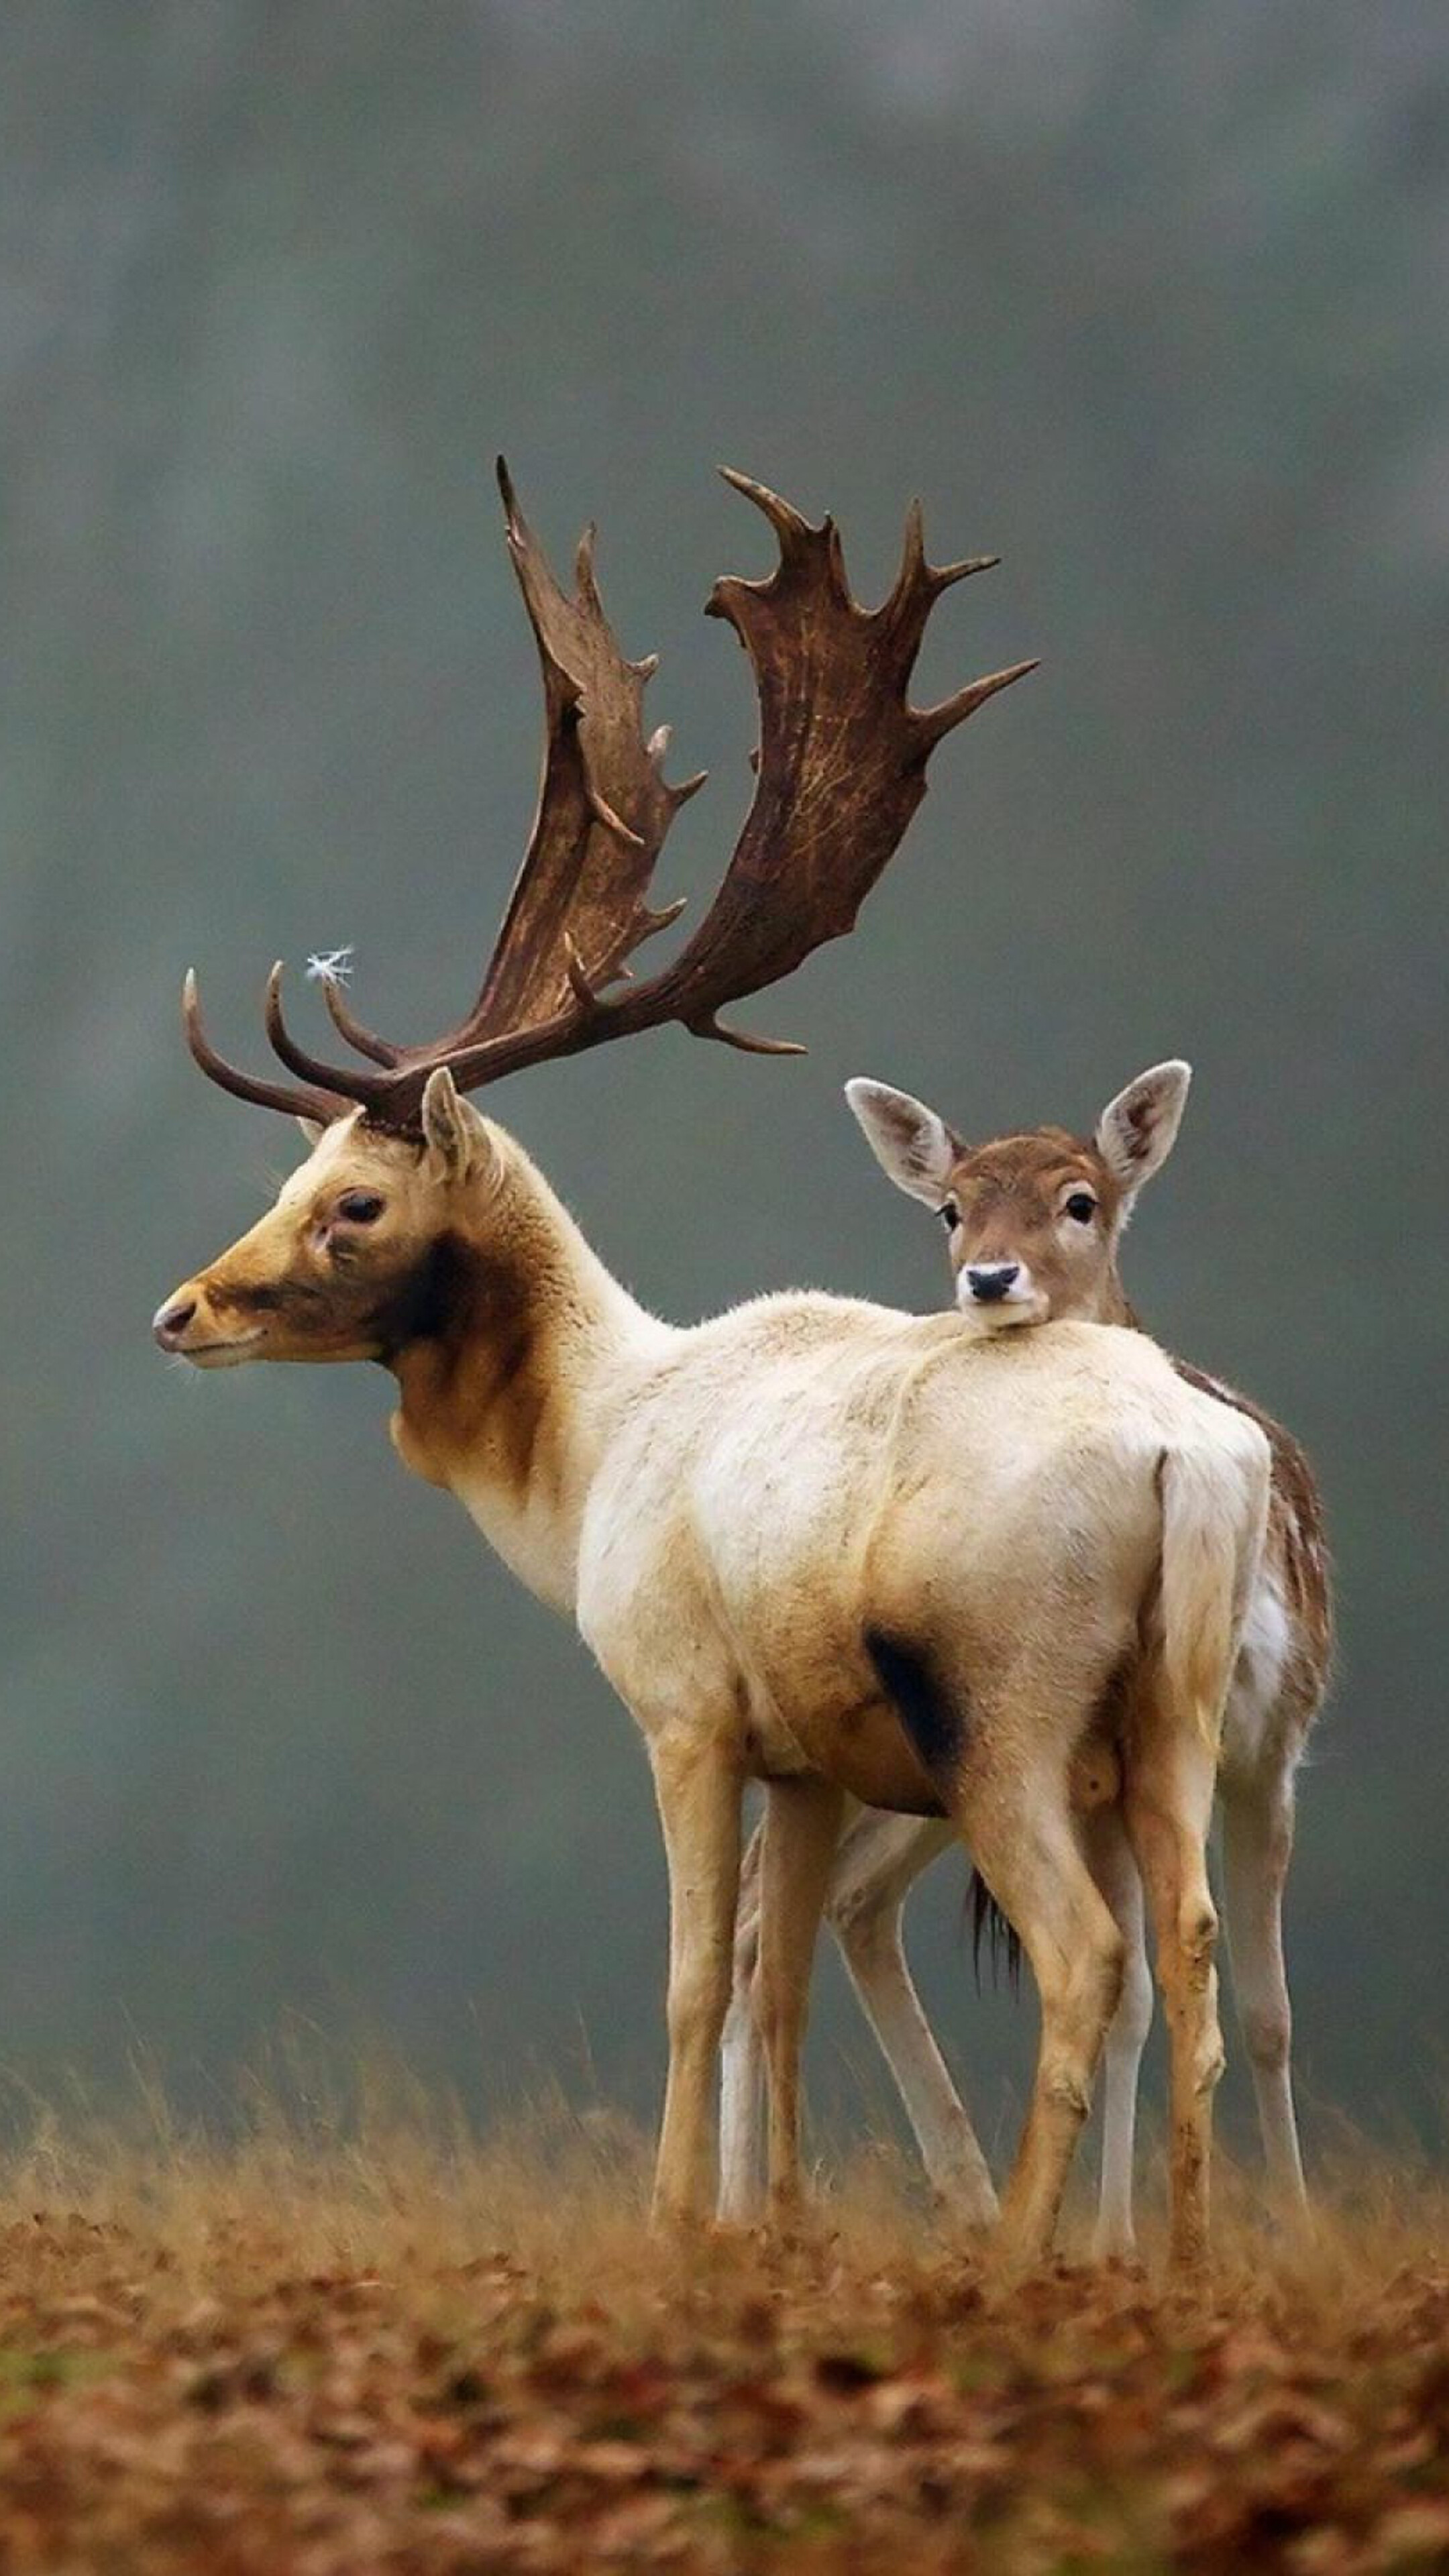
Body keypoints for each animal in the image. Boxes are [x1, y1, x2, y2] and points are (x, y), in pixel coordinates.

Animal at [723, 1062, 1329, 2254]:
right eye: (951, 1208)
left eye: (1079, 1200)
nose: (990, 1278)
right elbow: (1149, 1994)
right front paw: (1117, 2240)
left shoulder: (1273, 1741)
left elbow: (1267, 2010)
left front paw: (1276, 2225)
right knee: (779, 1914)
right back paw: (738, 2211)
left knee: (830, 1907)